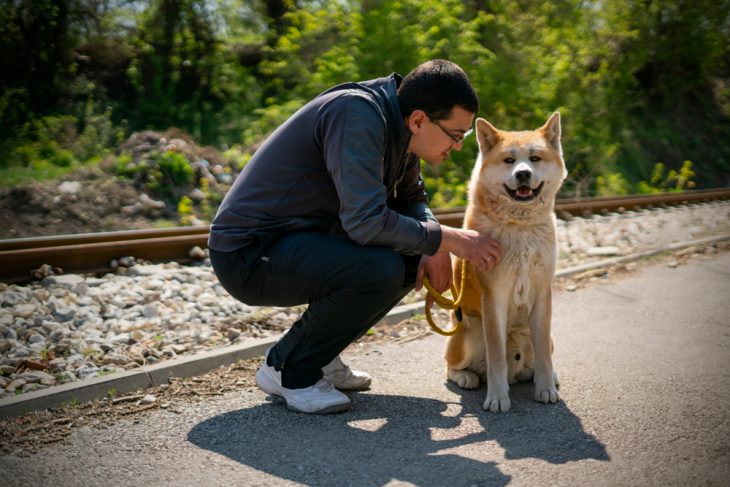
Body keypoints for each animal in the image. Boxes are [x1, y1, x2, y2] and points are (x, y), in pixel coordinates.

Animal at [440, 112, 564, 414]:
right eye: (509, 160)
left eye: (535, 158)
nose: (523, 174)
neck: (520, 227)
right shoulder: (493, 296)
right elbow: (496, 356)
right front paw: (497, 397)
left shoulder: (543, 294)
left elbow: (543, 356)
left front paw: (545, 388)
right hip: (468, 334)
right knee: (451, 367)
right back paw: (467, 377)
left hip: (548, 337)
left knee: (540, 357)